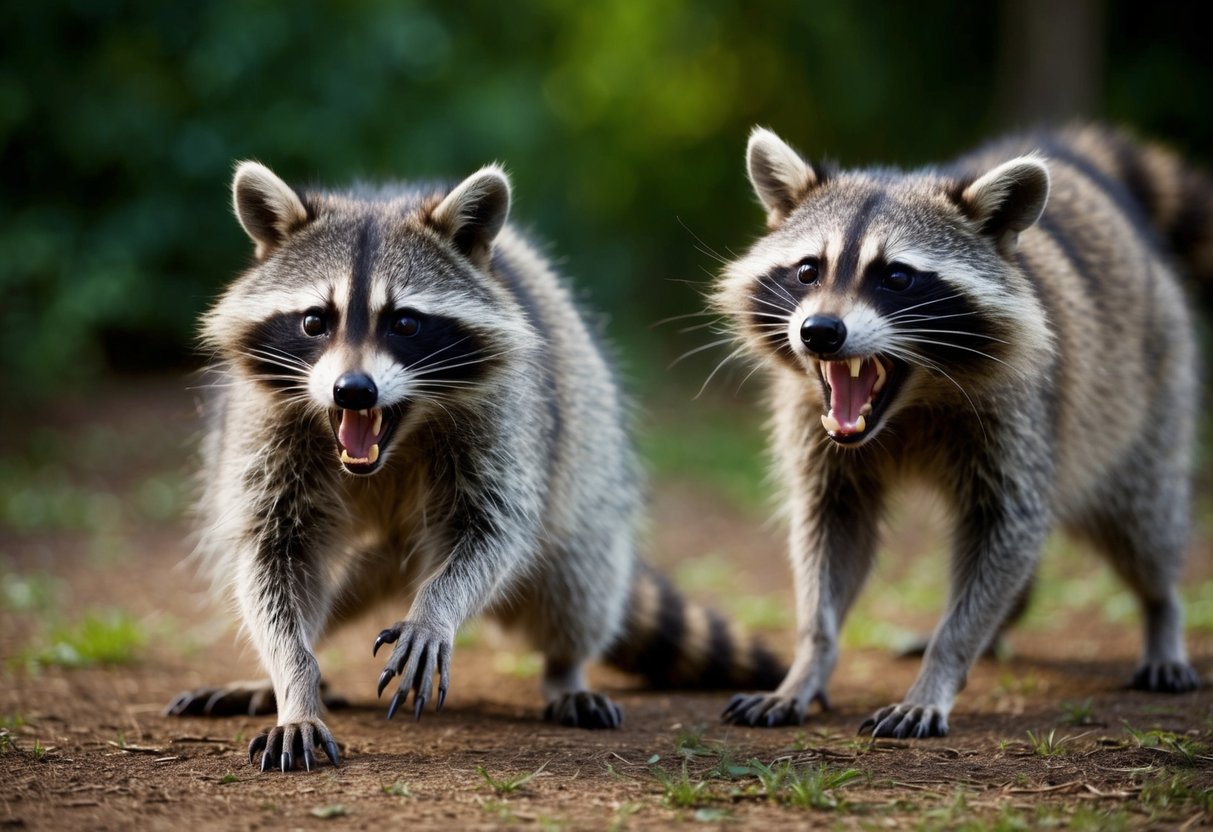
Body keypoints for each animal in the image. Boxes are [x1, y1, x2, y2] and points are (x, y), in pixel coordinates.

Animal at [165, 162, 784, 771]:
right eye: (315, 321)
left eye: (405, 323)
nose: (352, 391)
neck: (392, 442)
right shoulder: (267, 425)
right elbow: (272, 557)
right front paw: (294, 680)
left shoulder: (506, 416)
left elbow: (492, 532)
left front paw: (436, 611)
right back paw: (277, 675)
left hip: (586, 454)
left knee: (575, 581)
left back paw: (565, 669)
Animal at [714, 125, 1208, 738]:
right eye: (808, 270)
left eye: (897, 277)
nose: (820, 332)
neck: (910, 404)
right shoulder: (814, 426)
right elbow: (829, 532)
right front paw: (807, 663)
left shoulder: (1019, 413)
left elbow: (1008, 525)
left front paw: (940, 669)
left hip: (1148, 393)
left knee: (1143, 524)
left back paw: (1162, 613)